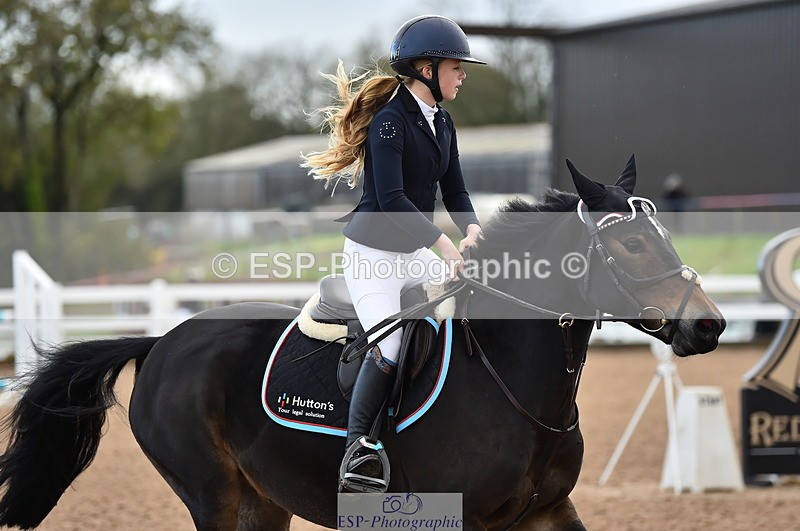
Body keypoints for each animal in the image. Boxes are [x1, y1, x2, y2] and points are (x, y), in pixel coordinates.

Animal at [0, 156, 725, 530]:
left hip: (262, 502)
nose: (709, 324)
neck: (513, 387)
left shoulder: (547, 512)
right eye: (632, 244)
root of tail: (162, 341)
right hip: (213, 494)